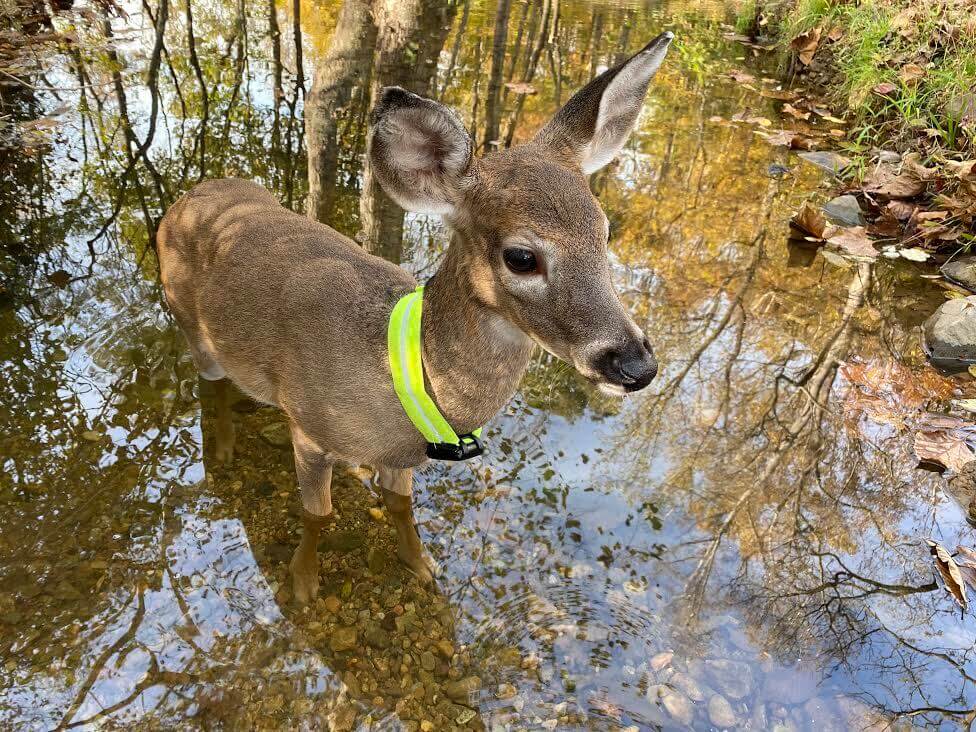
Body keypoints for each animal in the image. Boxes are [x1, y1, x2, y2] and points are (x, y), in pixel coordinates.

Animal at [158, 31, 672, 604]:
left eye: (605, 231)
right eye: (521, 257)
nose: (634, 364)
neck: (404, 380)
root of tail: (185, 199)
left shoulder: (403, 459)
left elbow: (402, 508)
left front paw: (422, 566)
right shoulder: (309, 428)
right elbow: (318, 516)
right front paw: (304, 583)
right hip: (186, 316)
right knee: (209, 384)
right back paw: (225, 449)